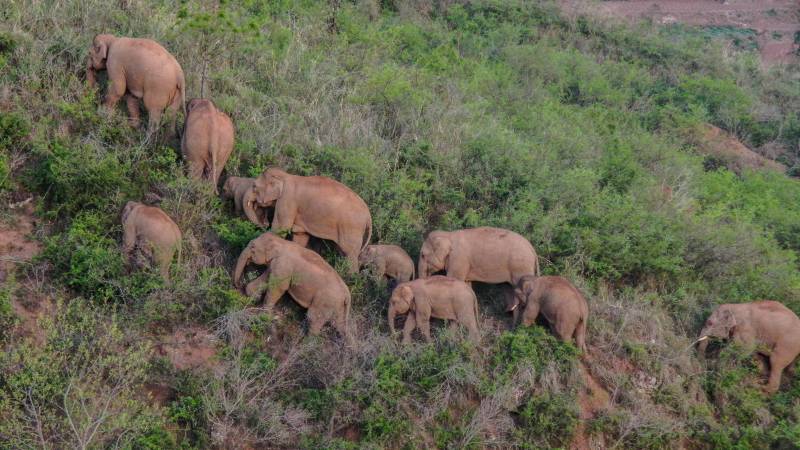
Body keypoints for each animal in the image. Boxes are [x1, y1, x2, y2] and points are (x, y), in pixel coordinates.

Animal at [244, 168, 372, 270]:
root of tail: (369, 216)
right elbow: (301, 235)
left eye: (254, 186)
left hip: (351, 228)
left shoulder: (287, 200)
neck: (285, 176)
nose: (265, 223)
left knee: (350, 255)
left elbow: (280, 229)